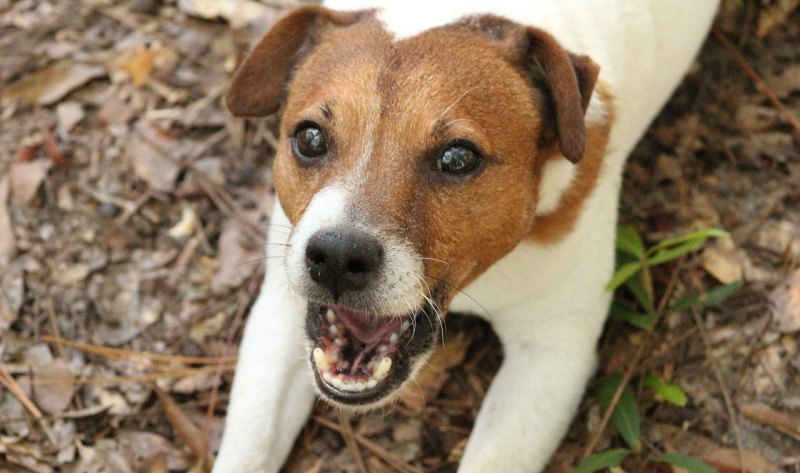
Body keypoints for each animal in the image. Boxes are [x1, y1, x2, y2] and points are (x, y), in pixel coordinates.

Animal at [212, 1, 720, 470]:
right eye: (310, 138)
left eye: (458, 158)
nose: (337, 257)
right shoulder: (280, 314)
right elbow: (247, 448)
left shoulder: (551, 354)